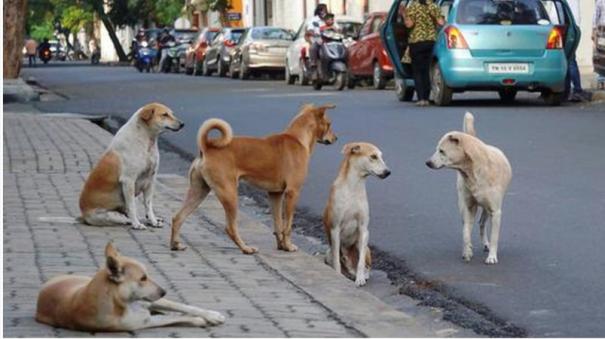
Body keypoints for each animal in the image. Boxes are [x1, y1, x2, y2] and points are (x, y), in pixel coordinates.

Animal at [35, 243, 224, 334]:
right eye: (143, 278)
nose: (164, 291)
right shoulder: (144, 322)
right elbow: (175, 318)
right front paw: (198, 320)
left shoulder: (151, 304)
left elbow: (183, 309)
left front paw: (210, 315)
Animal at [78, 103, 183, 231]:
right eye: (164, 114)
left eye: (171, 113)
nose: (182, 124)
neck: (146, 141)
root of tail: (83, 215)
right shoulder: (128, 181)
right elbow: (132, 206)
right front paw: (137, 224)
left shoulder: (150, 180)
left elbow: (148, 205)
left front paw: (153, 221)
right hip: (111, 215)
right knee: (125, 217)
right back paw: (135, 221)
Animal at [171, 103, 340, 255]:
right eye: (329, 124)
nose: (336, 138)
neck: (297, 138)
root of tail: (207, 146)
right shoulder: (292, 193)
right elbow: (288, 226)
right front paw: (289, 246)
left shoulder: (275, 194)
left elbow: (278, 224)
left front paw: (281, 246)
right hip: (229, 193)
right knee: (230, 228)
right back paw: (246, 248)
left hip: (199, 191)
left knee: (178, 217)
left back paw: (175, 245)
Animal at [320, 141, 392, 286]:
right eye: (373, 156)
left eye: (381, 156)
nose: (388, 172)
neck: (353, 187)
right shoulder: (335, 229)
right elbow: (336, 260)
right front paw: (338, 276)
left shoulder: (364, 229)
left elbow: (361, 262)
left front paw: (360, 279)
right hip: (328, 252)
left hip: (366, 248)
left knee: (365, 265)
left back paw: (361, 275)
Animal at [424, 113, 510, 264]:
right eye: (437, 149)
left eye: (441, 151)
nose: (427, 162)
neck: (473, 171)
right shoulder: (468, 207)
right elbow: (465, 232)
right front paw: (467, 251)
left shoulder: (496, 211)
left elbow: (494, 237)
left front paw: (492, 257)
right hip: (466, 205)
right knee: (470, 224)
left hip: (487, 208)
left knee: (482, 223)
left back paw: (486, 245)